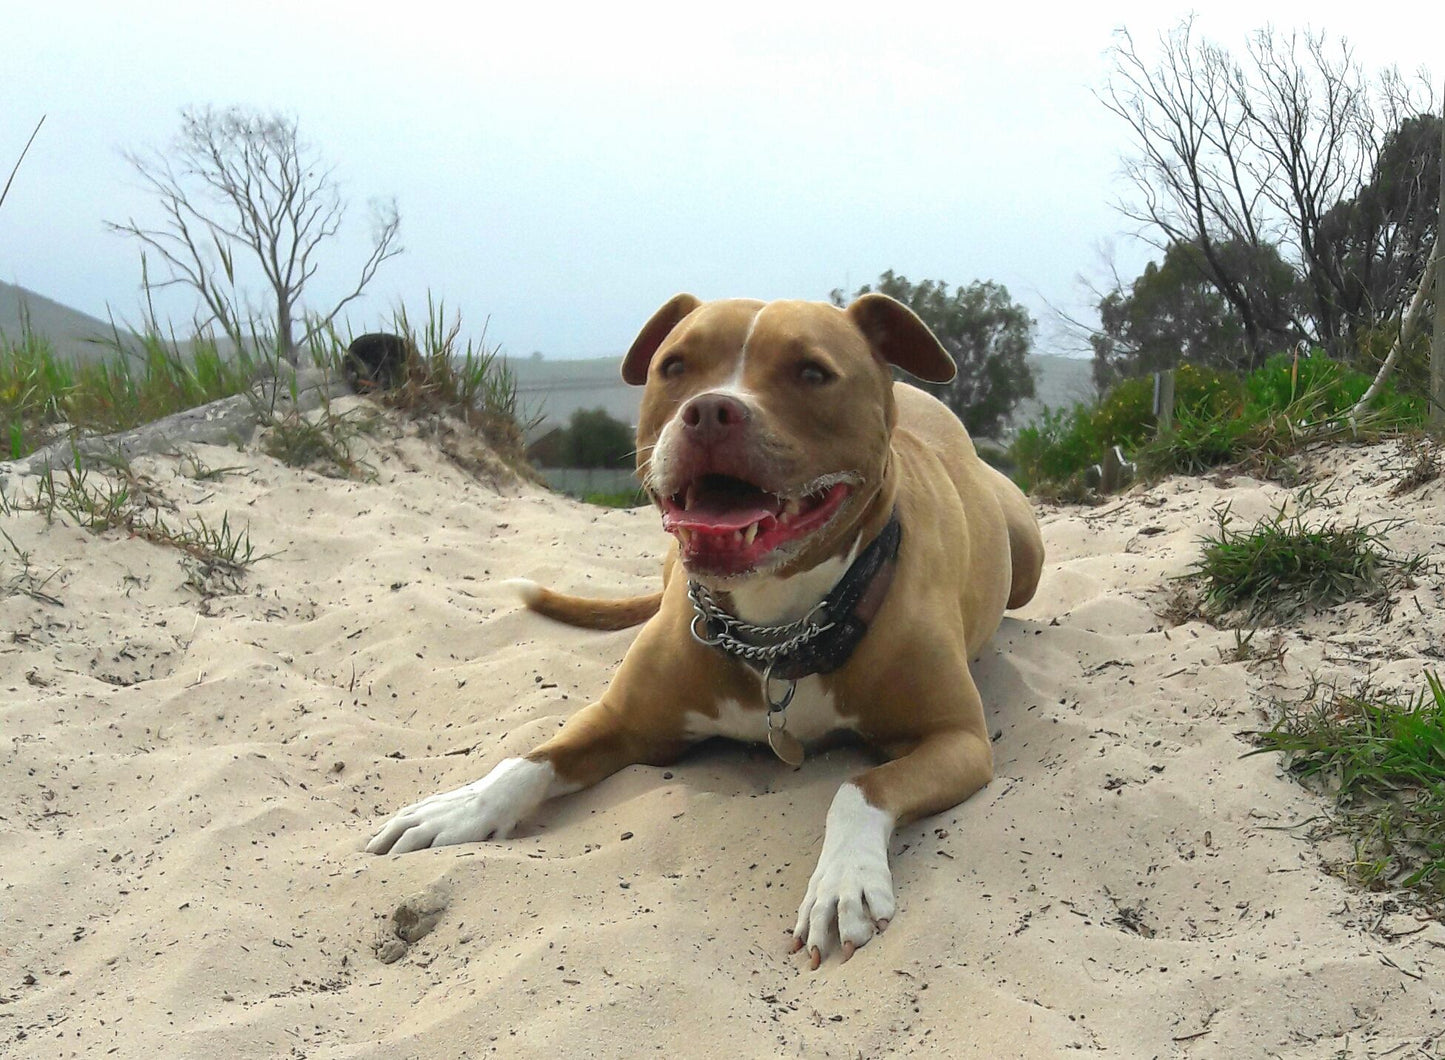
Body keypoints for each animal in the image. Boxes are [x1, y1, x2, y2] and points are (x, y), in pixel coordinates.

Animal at [367, 293, 1046, 970]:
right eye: (675, 366)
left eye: (811, 372)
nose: (710, 412)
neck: (774, 629)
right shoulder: (622, 720)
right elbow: (528, 759)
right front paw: (462, 807)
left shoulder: (958, 740)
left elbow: (861, 784)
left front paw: (842, 881)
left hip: (1028, 554)